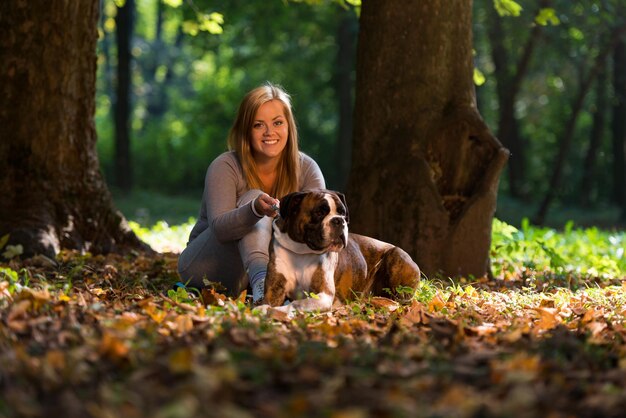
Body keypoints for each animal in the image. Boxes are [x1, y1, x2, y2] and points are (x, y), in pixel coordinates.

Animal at [258, 189, 420, 314]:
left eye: (343, 213)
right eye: (319, 212)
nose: (339, 220)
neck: (301, 251)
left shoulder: (323, 295)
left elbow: (298, 303)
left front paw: (280, 311)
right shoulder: (274, 292)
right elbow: (265, 304)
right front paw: (261, 311)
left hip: (397, 256)